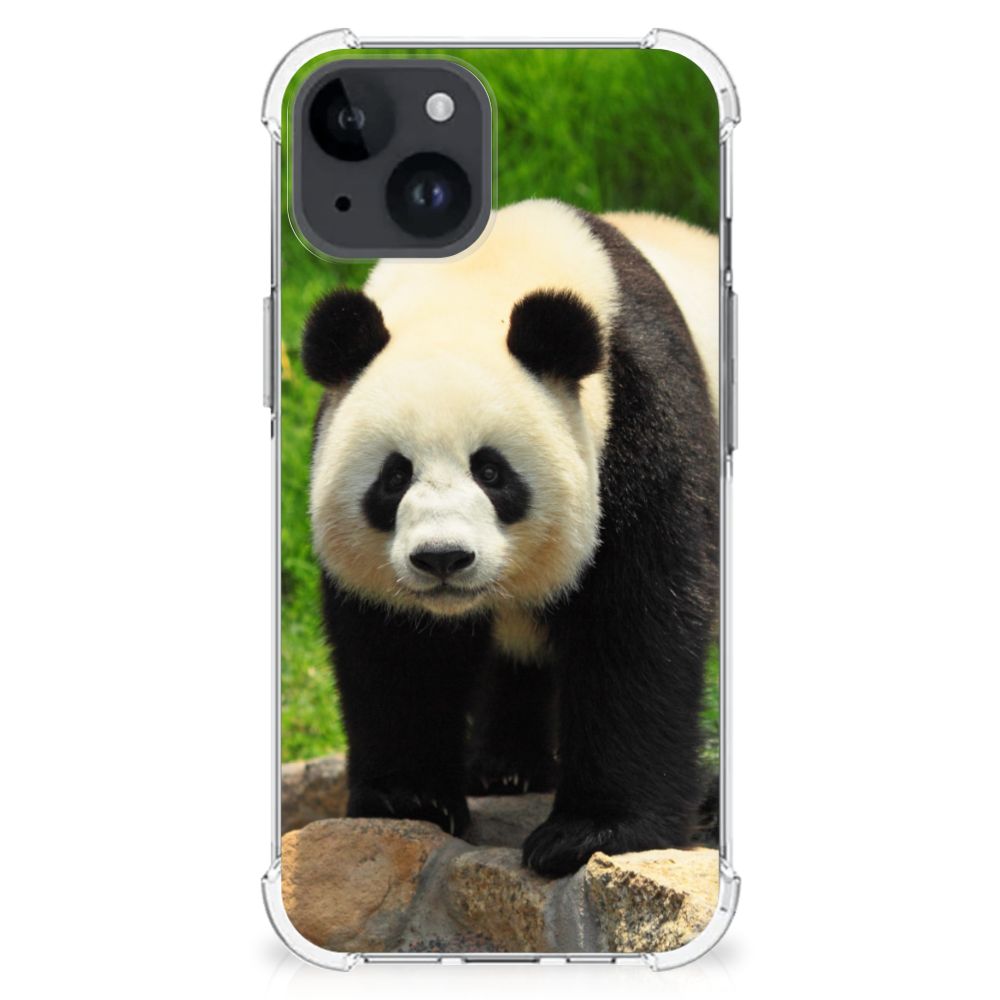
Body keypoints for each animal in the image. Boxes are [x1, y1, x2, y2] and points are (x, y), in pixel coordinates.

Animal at [301, 199, 719, 877]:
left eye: (492, 472)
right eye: (394, 476)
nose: (443, 558)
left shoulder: (641, 418)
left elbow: (638, 622)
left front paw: (592, 832)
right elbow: (397, 648)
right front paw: (408, 799)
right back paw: (505, 769)